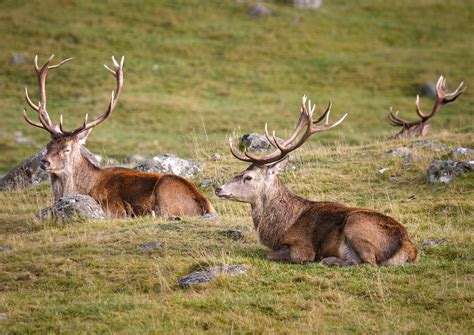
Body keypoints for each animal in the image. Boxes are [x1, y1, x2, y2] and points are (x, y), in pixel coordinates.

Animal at [21, 55, 215, 218]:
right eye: (47, 146)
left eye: (67, 149)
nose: (44, 162)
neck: (82, 188)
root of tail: (205, 204)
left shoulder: (114, 209)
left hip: (166, 187)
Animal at [216, 97, 418, 268]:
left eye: (248, 177)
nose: (218, 188)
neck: (280, 228)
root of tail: (410, 250)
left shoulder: (301, 246)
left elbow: (272, 255)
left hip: (357, 223)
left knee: (369, 263)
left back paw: (327, 260)